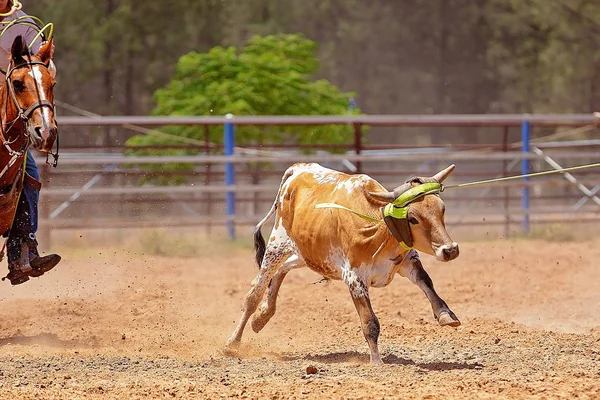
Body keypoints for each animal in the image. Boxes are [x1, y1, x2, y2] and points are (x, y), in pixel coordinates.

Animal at [227, 162, 462, 362]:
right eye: (413, 218)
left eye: (442, 209)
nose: (450, 250)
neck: (378, 228)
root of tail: (298, 168)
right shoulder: (354, 278)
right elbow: (370, 323)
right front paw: (376, 361)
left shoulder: (408, 261)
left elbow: (427, 283)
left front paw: (445, 315)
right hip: (277, 244)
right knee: (254, 293)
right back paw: (233, 342)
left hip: (307, 254)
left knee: (280, 272)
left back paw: (262, 316)